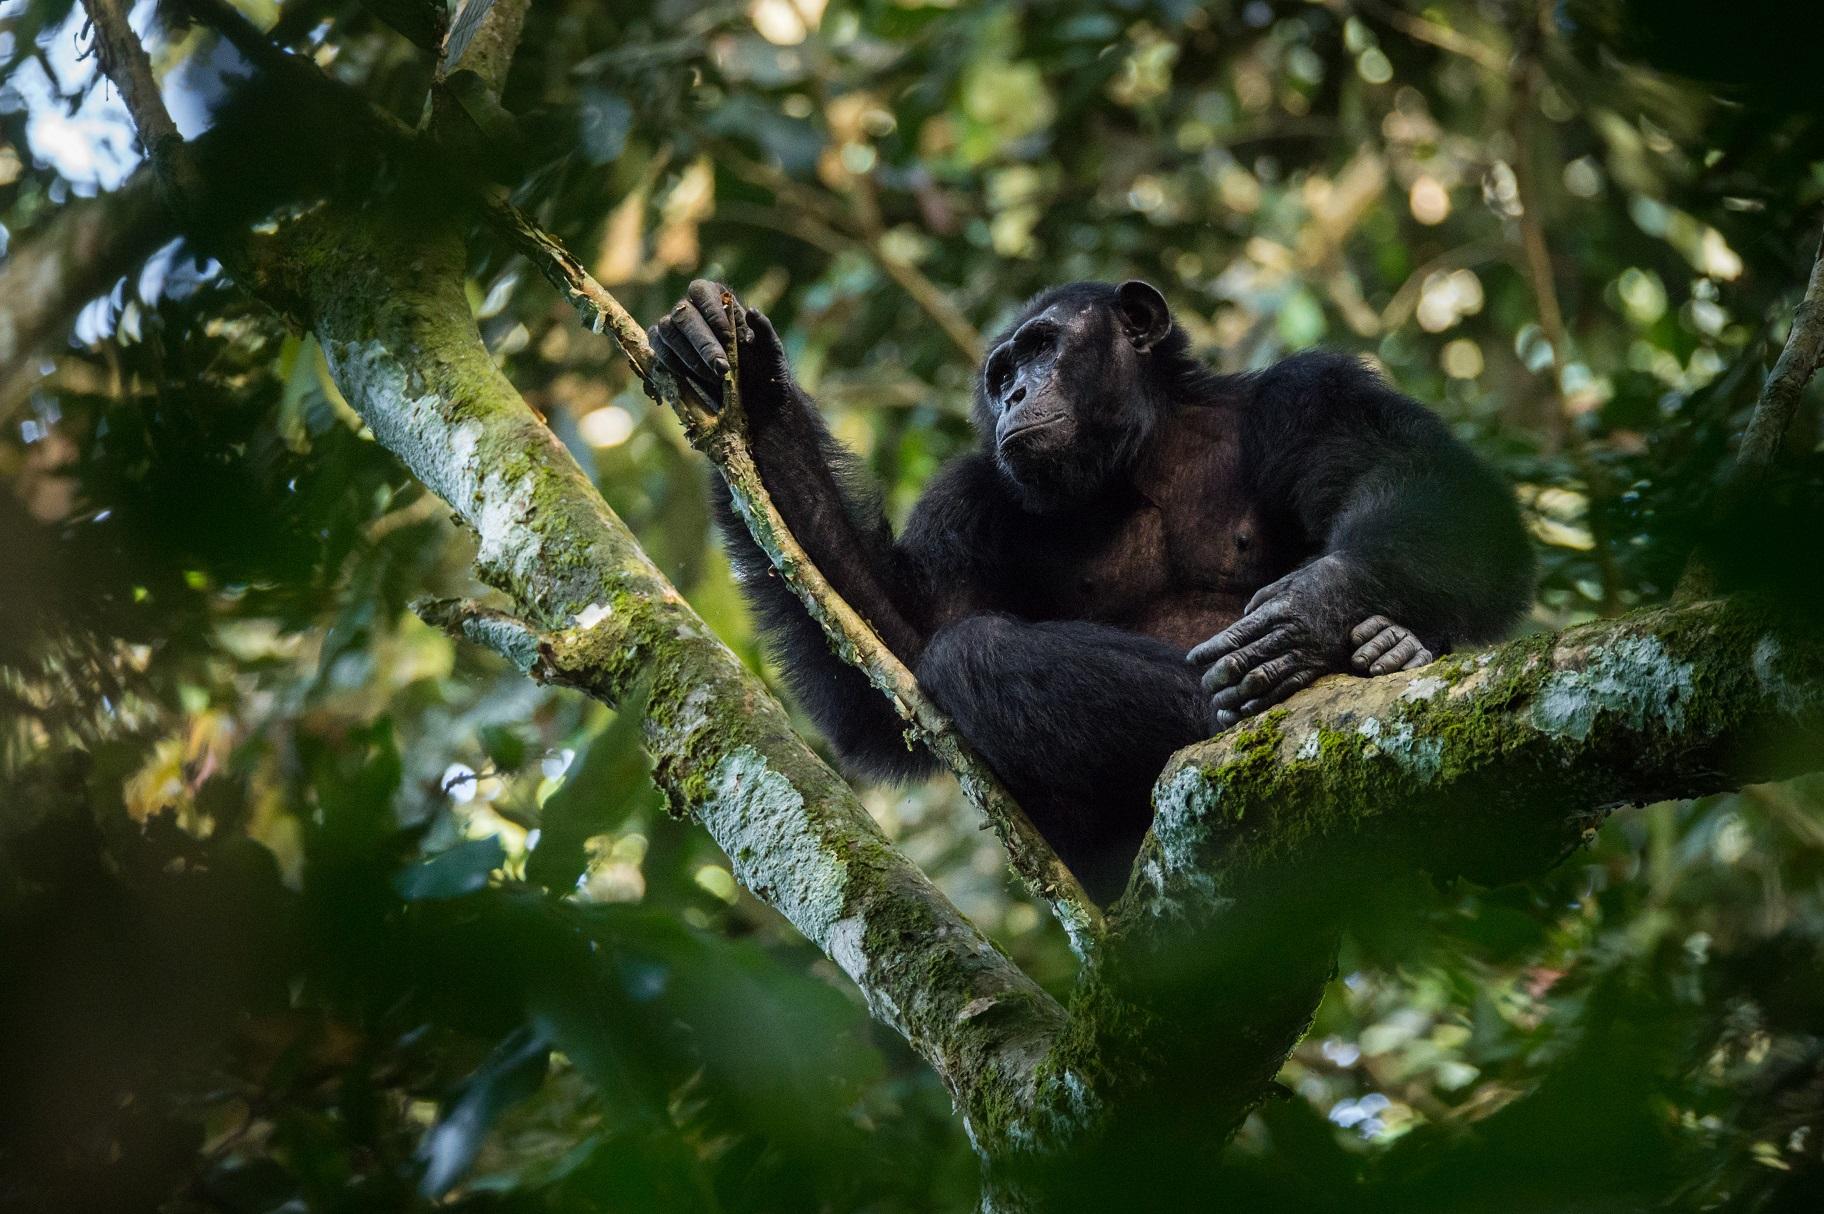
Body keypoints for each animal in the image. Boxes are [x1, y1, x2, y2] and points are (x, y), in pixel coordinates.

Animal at [649, 277, 1532, 896]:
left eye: (1044, 347)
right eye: (1002, 370)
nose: (1013, 392)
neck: (1139, 452)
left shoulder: (1311, 391)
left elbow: (1419, 478)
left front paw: (1314, 610)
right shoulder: (968, 500)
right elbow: (899, 642)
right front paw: (743, 378)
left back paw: (1380, 650)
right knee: (971, 651)